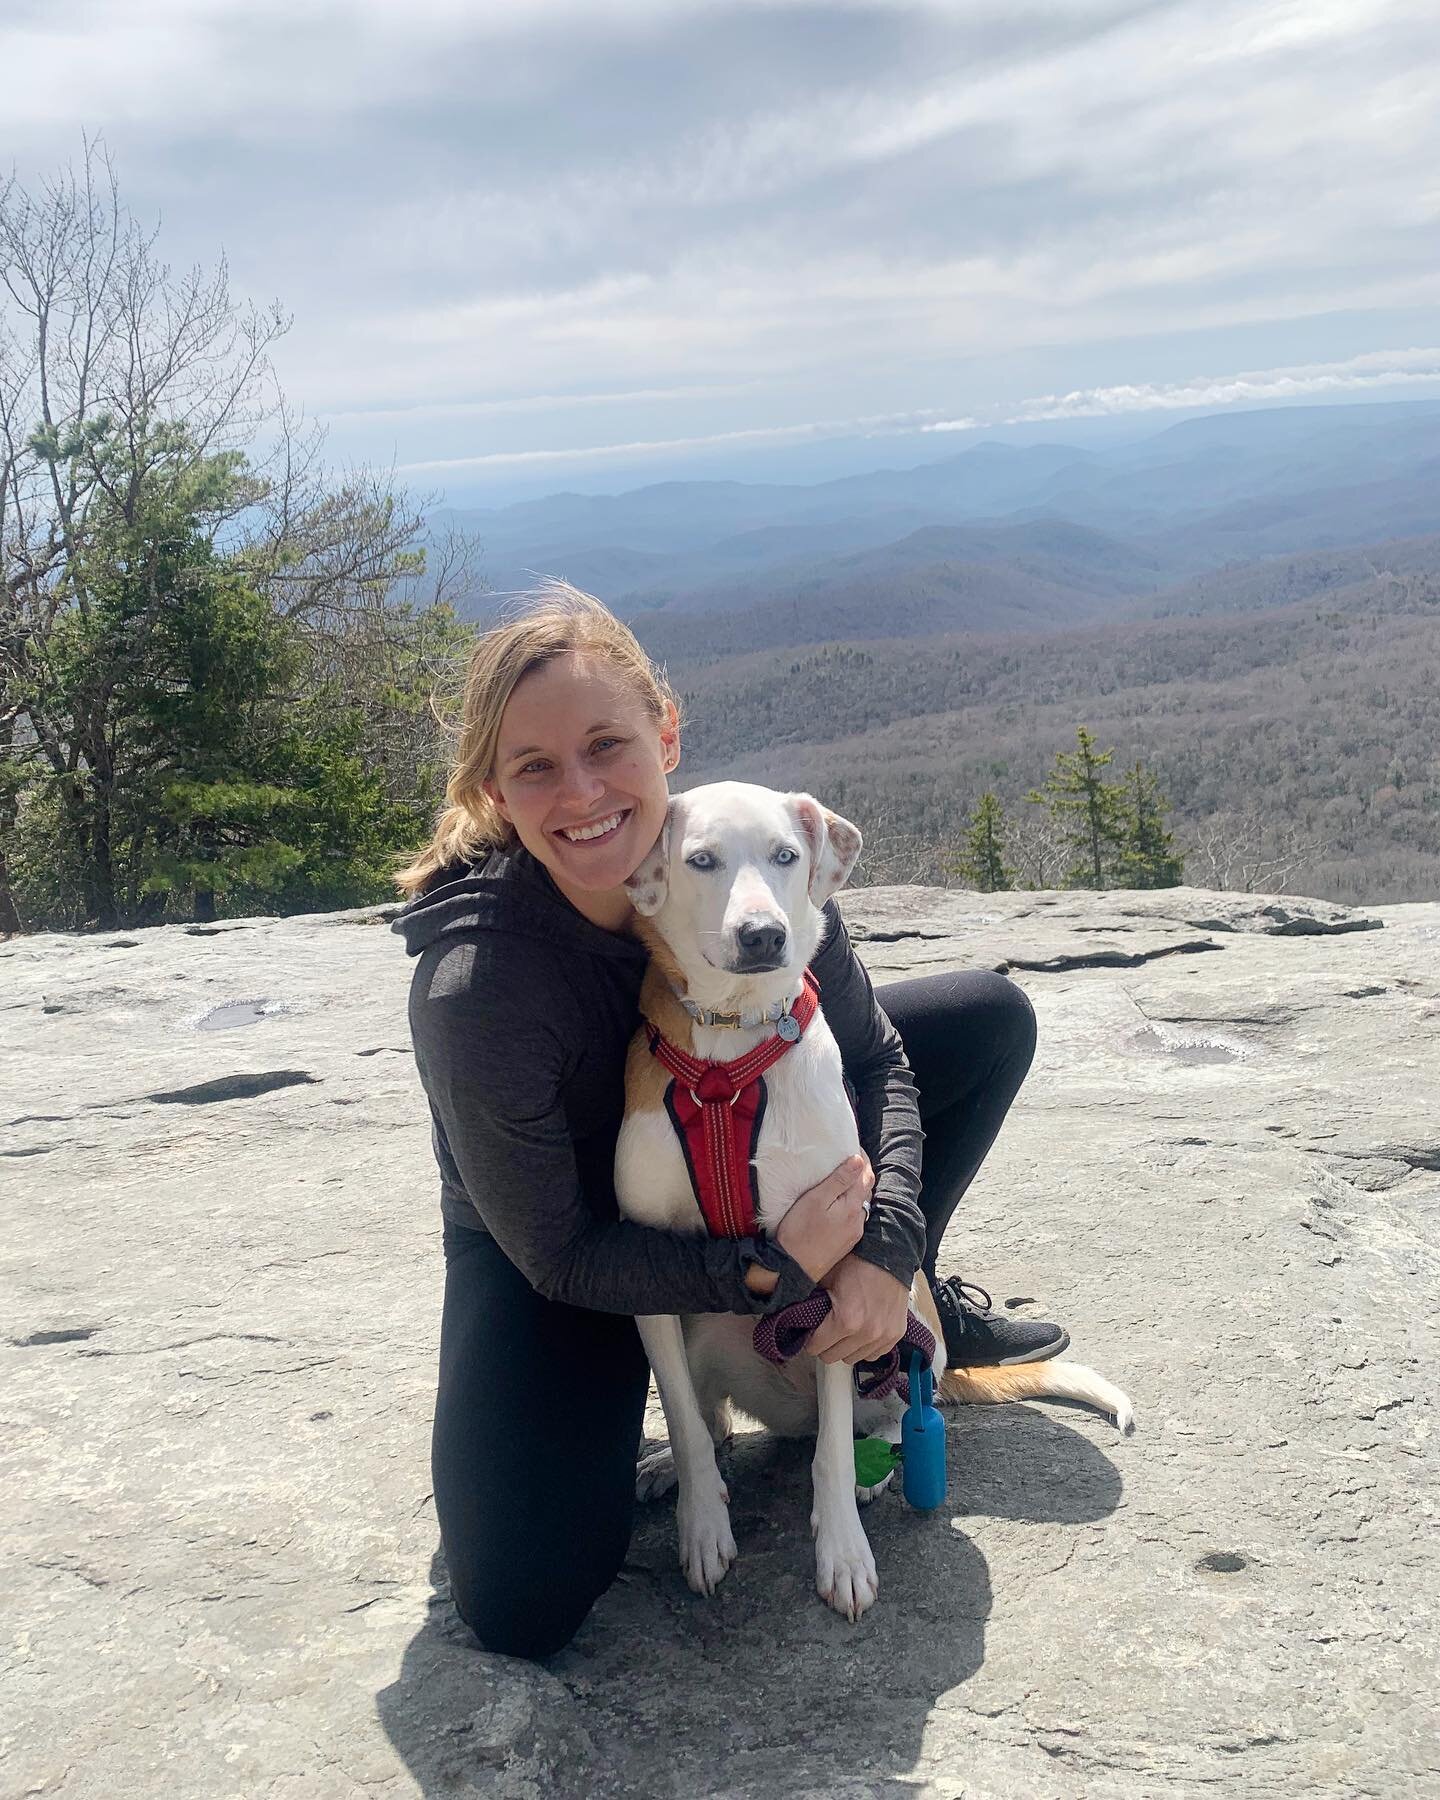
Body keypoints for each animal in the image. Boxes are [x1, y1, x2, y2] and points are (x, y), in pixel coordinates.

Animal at [612, 781, 1130, 1627]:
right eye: (701, 861)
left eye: (786, 855)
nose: (763, 935)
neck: (732, 1050)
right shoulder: (644, 1272)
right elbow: (686, 1423)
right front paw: (701, 1524)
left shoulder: (837, 1279)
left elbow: (827, 1457)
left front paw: (843, 1553)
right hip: (700, 1332)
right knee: (711, 1418)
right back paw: (671, 1467)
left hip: (893, 1338)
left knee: (881, 1418)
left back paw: (877, 1466)